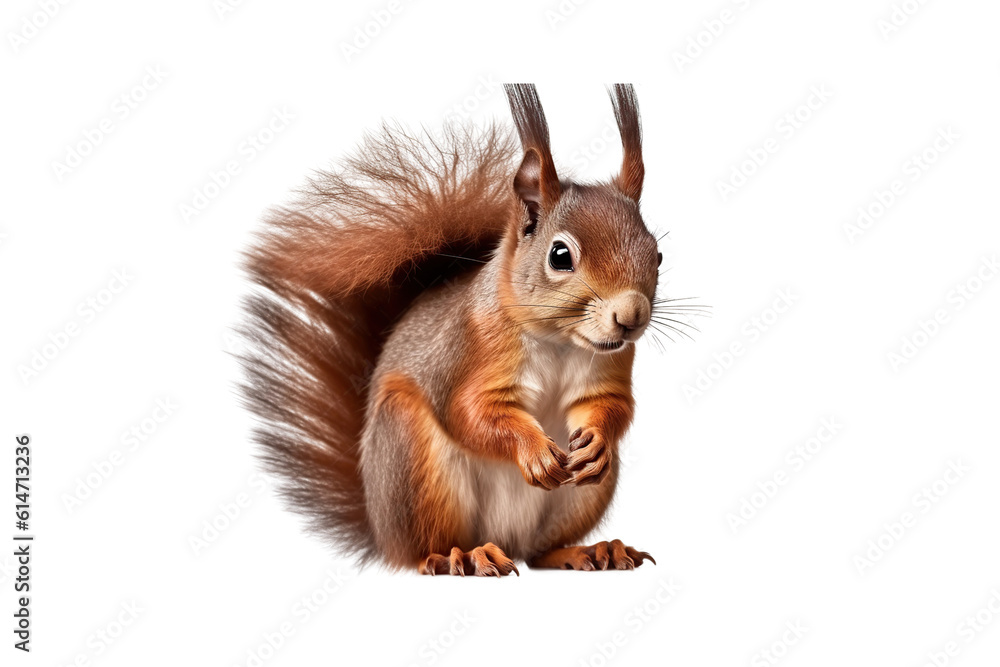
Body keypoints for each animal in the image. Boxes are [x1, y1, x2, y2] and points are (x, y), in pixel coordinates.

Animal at [241, 84, 679, 576]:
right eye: (560, 255)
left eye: (658, 254)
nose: (632, 316)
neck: (560, 342)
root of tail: (381, 530)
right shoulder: (467, 350)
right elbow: (470, 413)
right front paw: (533, 449)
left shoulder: (609, 367)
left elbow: (611, 405)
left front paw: (598, 442)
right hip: (414, 461)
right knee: (421, 552)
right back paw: (462, 555)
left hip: (575, 502)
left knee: (540, 552)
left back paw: (589, 550)